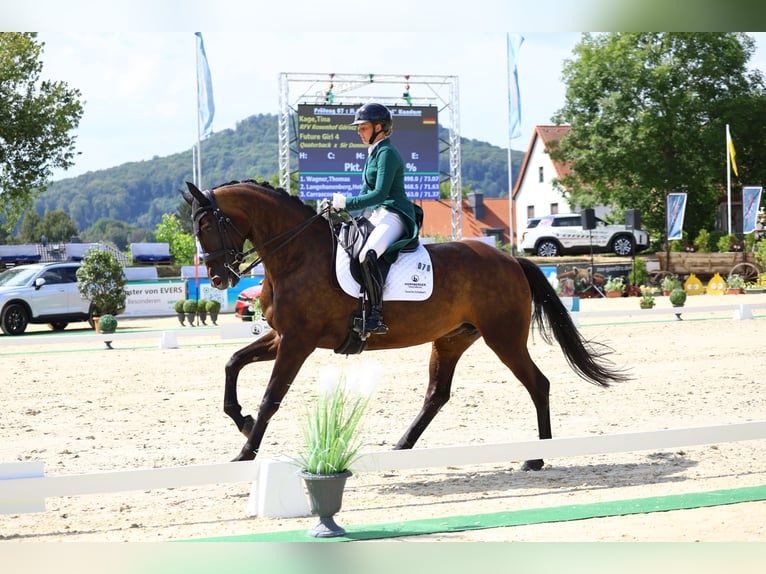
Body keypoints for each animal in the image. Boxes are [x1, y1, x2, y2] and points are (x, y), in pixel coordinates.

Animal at [182, 181, 632, 472]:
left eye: (206, 226)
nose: (218, 278)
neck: (297, 255)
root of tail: (509, 259)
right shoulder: (281, 337)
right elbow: (232, 362)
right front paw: (241, 422)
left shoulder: (298, 341)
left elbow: (271, 397)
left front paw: (245, 452)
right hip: (452, 339)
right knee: (437, 394)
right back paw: (401, 447)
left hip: (503, 338)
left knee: (538, 384)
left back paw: (537, 457)